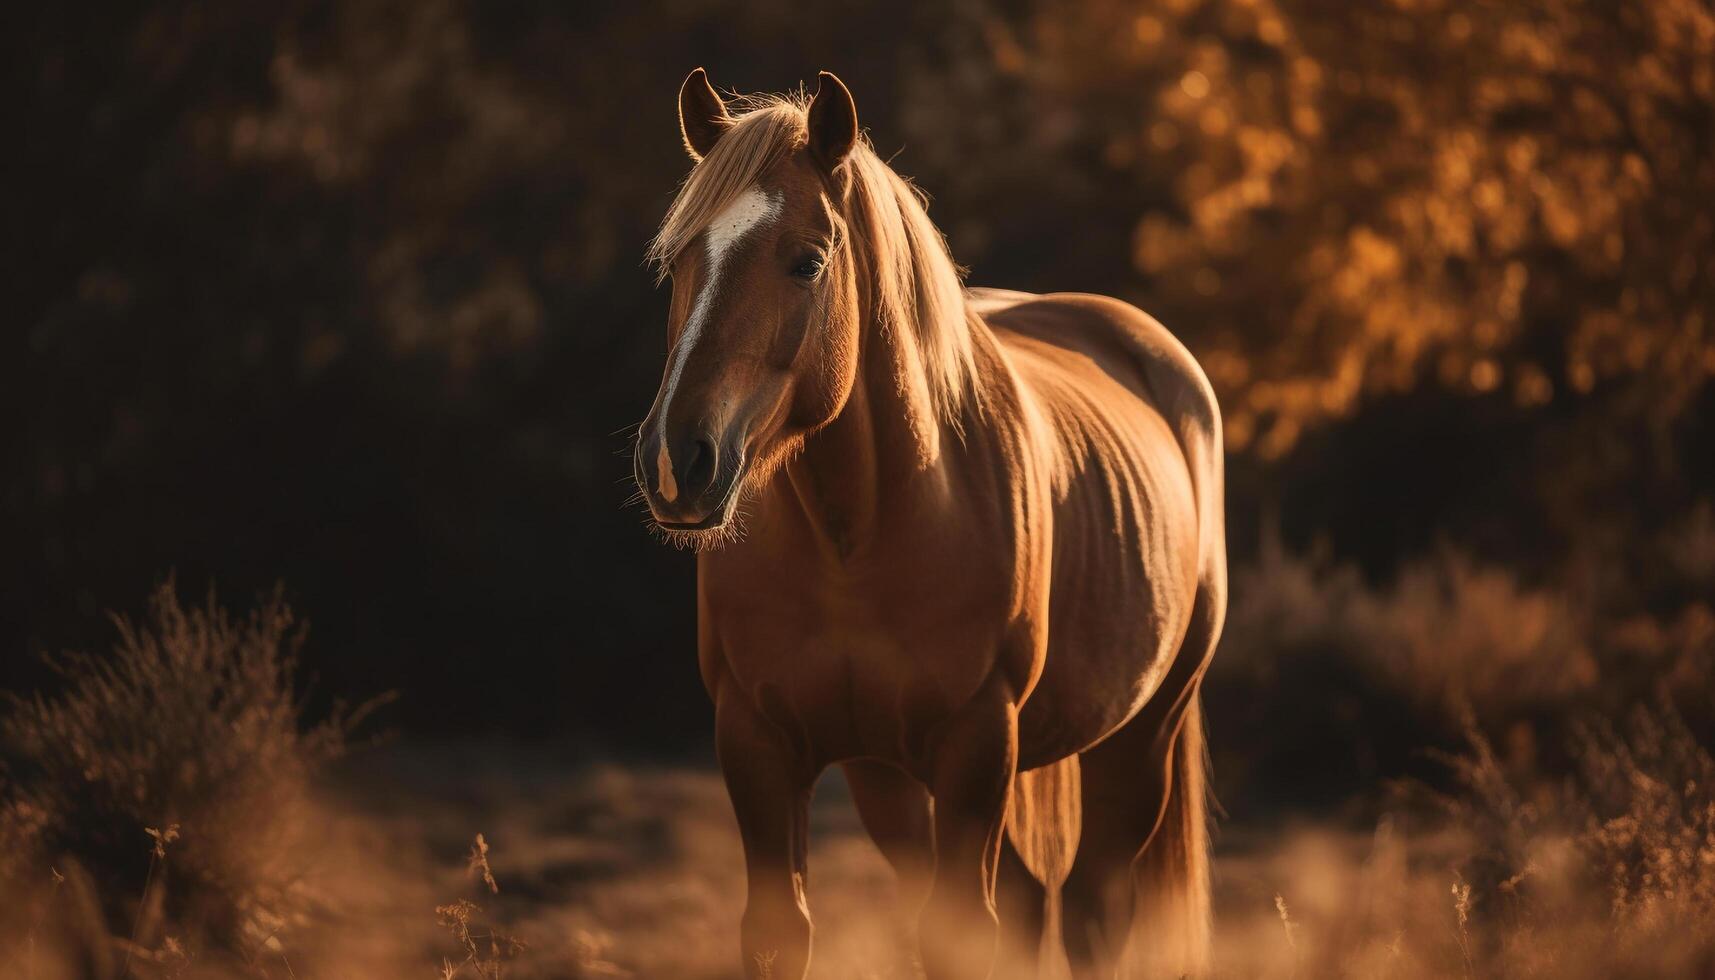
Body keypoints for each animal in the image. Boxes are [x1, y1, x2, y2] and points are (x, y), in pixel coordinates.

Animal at [637, 70, 1227, 980]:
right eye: (677, 262)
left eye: (808, 261)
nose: (677, 461)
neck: (855, 536)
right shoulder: (757, 743)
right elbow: (780, 932)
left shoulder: (976, 743)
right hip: (890, 782)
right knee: (1027, 899)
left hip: (1141, 736)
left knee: (1090, 909)